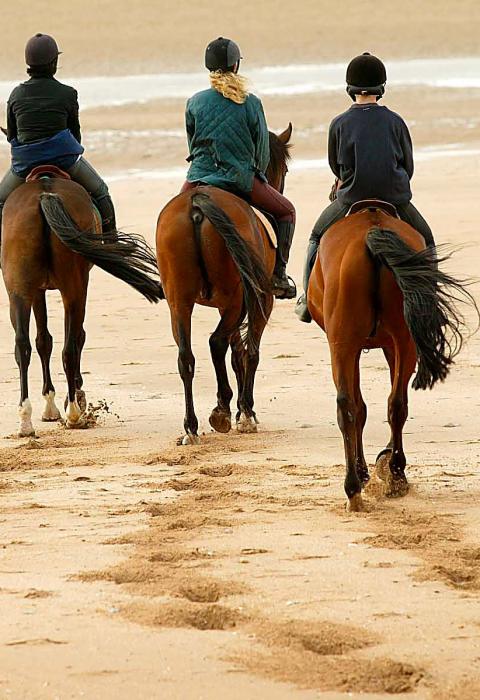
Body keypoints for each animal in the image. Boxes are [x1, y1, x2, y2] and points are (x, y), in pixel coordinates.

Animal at [1, 169, 164, 437]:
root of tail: (45, 194)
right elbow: (67, 338)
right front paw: (68, 398)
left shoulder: (37, 291)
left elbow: (43, 341)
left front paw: (51, 405)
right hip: (74, 289)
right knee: (71, 345)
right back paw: (74, 413)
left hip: (20, 291)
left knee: (23, 345)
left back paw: (26, 420)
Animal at [156, 125, 292, 444]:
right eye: (284, 169)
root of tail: (197, 203)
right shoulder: (258, 301)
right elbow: (249, 351)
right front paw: (246, 412)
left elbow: (237, 353)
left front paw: (239, 409)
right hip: (236, 299)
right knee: (217, 343)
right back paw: (222, 410)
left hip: (180, 302)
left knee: (186, 357)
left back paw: (191, 427)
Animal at [307, 202, 477, 511]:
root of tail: (371, 234)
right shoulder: (384, 346)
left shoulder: (361, 347)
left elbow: (360, 408)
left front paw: (366, 470)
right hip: (403, 340)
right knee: (396, 404)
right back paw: (393, 476)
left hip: (344, 344)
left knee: (348, 406)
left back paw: (360, 484)